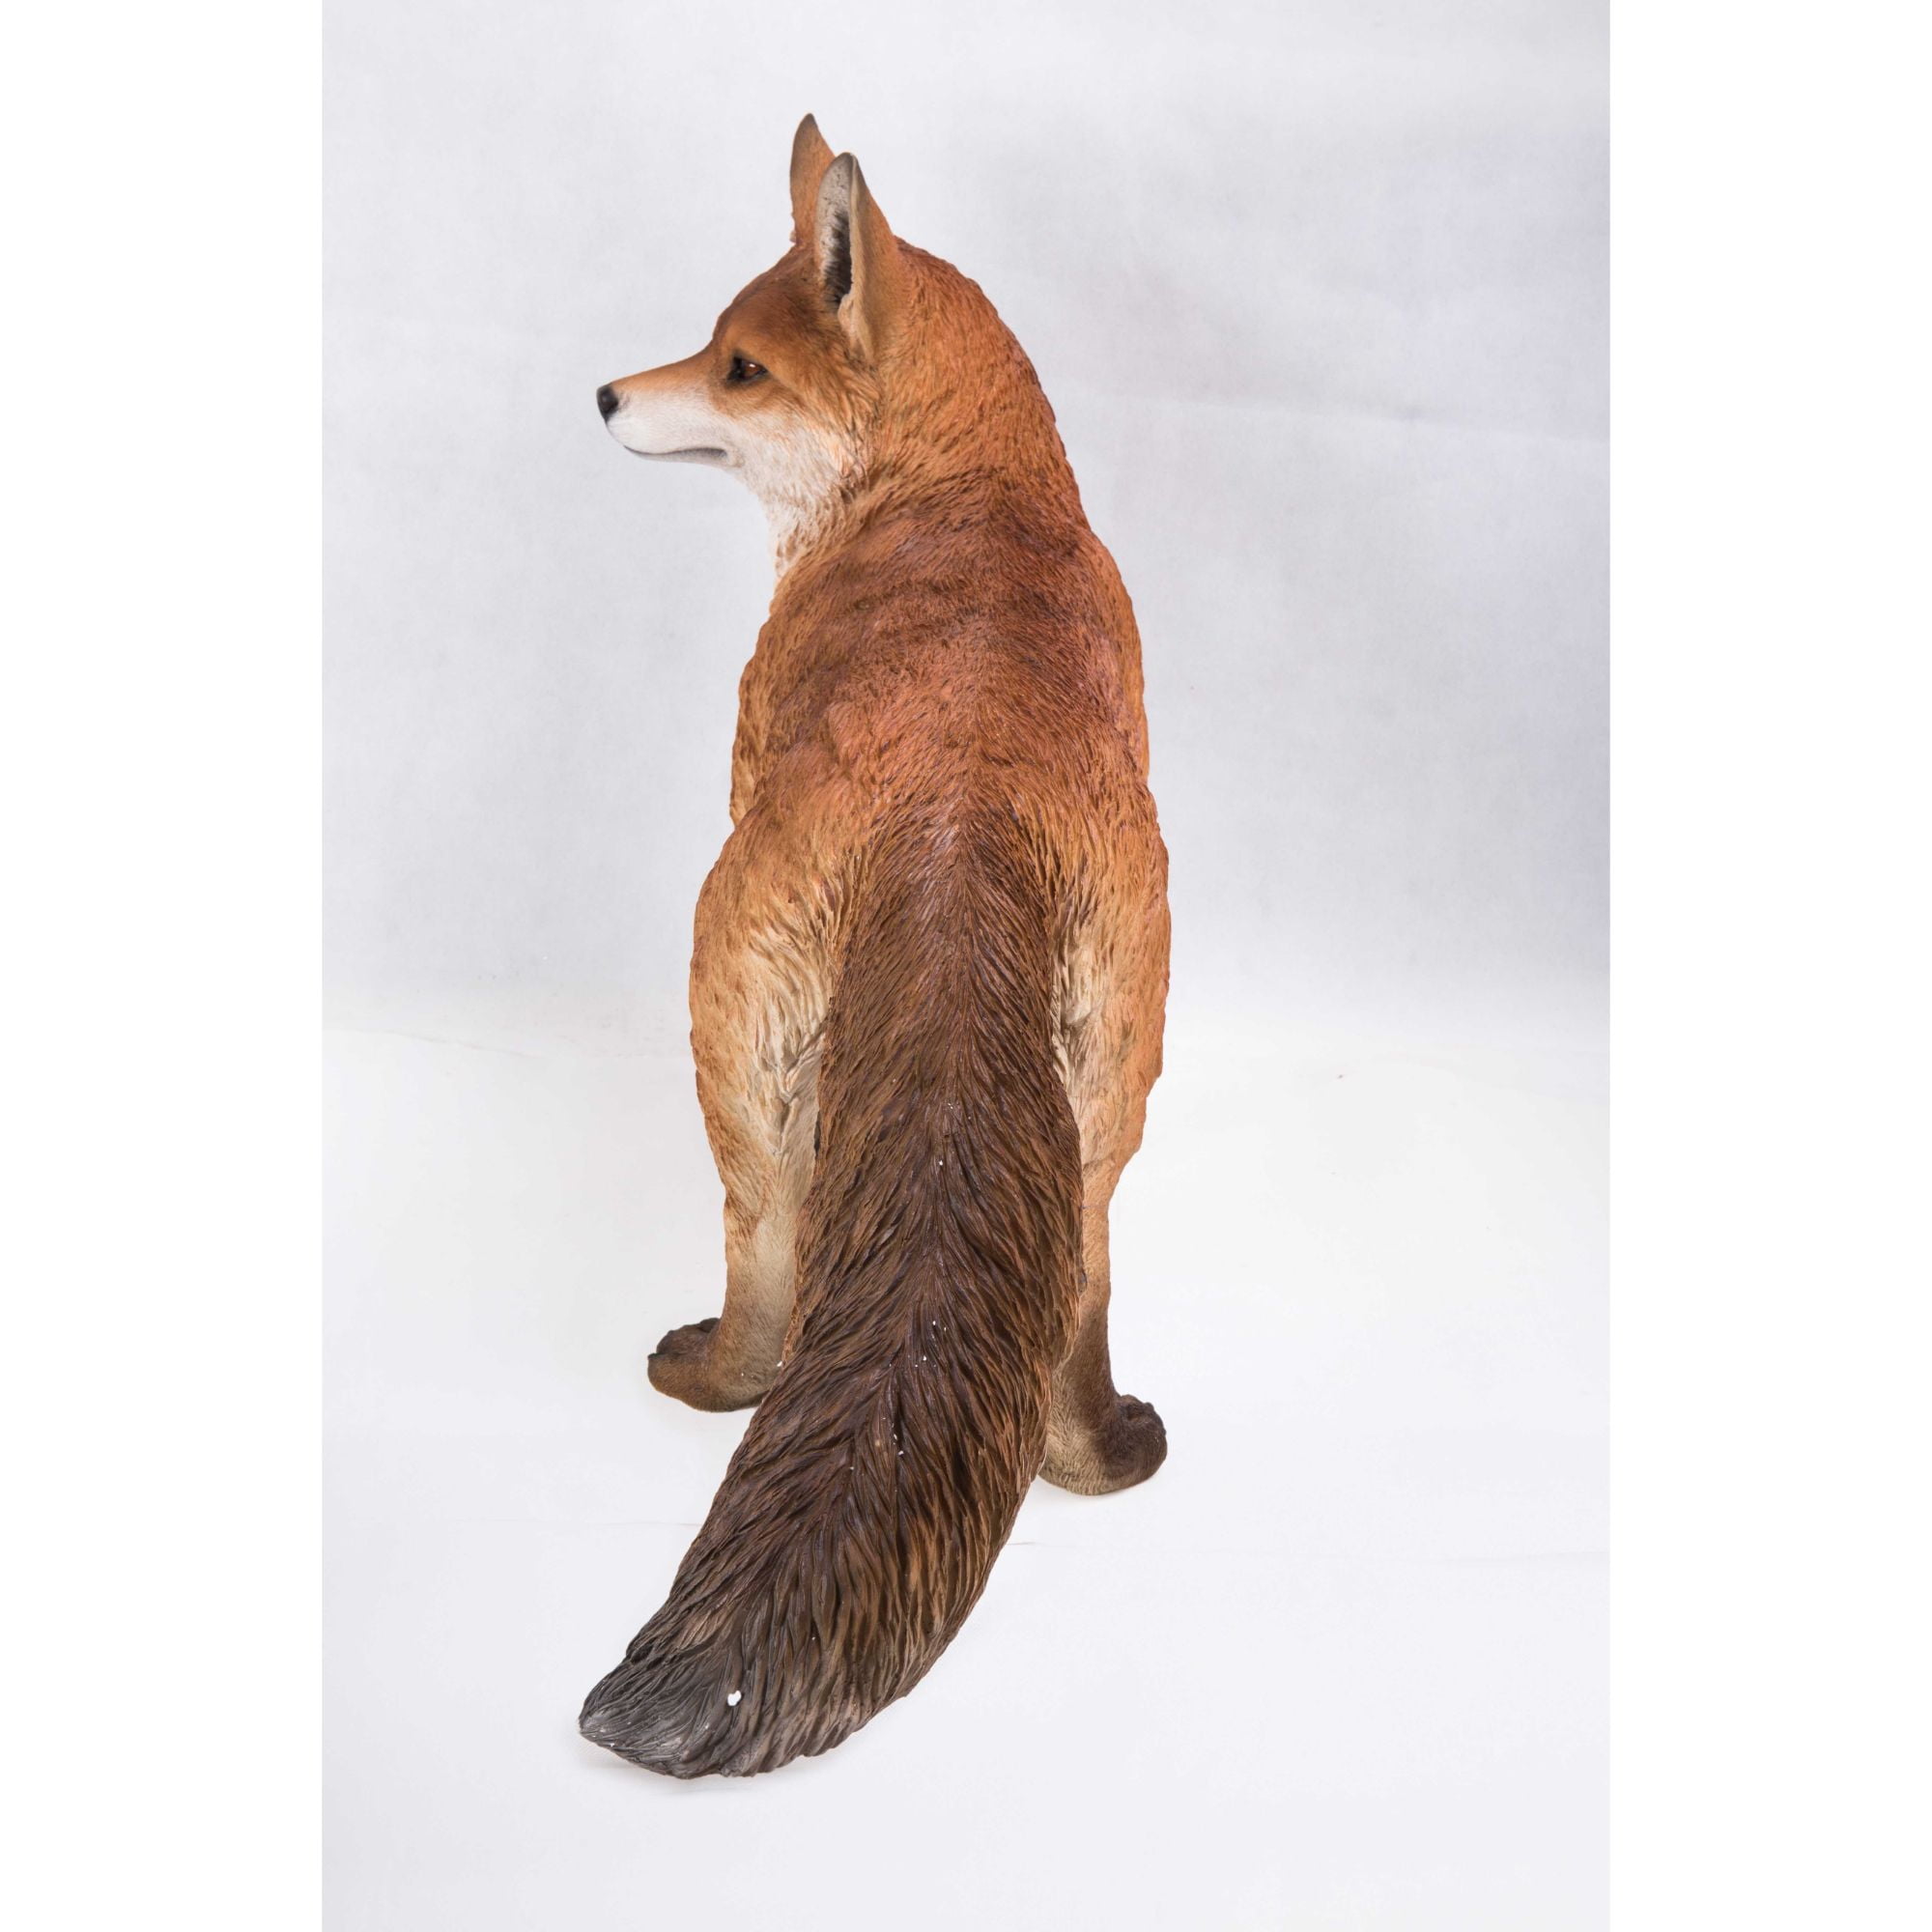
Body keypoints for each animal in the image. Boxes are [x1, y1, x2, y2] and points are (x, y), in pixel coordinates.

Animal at [578, 116, 1171, 1778]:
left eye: (736, 371)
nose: (604, 395)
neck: (960, 487)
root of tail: (956, 819)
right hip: (1115, 1085)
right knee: (1081, 1288)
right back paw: (1093, 1462)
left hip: (735, 1040)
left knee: (771, 1273)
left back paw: (714, 1378)